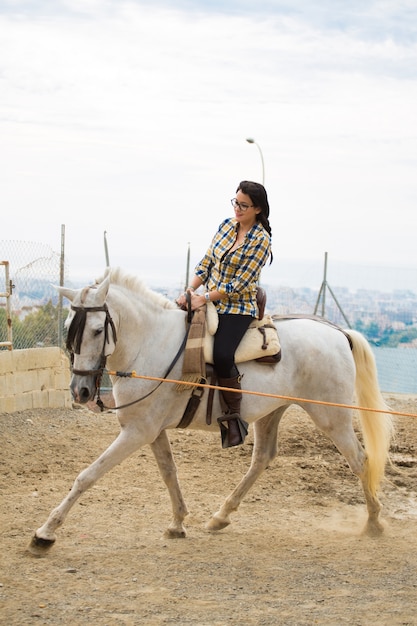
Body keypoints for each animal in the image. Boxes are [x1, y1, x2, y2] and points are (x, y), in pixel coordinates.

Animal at [29, 268, 394, 552]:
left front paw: (45, 532)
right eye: (69, 329)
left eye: (95, 330)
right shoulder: (151, 430)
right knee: (262, 458)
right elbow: (169, 472)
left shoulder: (136, 432)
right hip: (271, 413)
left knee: (359, 459)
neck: (151, 345)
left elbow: (87, 475)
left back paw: (374, 522)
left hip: (332, 418)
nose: (81, 391)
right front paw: (178, 522)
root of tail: (338, 332)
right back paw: (220, 516)